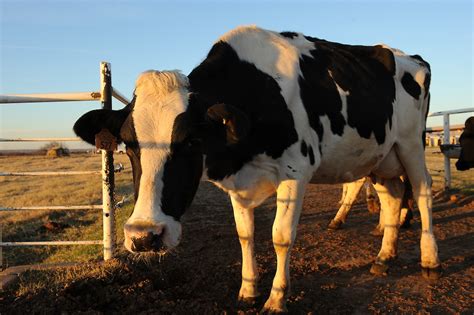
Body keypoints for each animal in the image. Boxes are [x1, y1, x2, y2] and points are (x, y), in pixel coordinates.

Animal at [74, 25, 440, 312]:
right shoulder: (238, 182)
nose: (144, 236)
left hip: (410, 143)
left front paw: (276, 298)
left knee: (422, 191)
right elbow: (245, 234)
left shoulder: (296, 171)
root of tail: (409, 57)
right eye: (128, 144)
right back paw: (384, 258)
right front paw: (248, 290)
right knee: (393, 196)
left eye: (191, 141)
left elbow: (280, 236)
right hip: (379, 155)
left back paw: (429, 260)